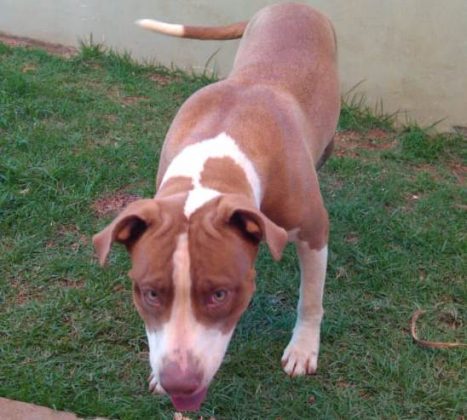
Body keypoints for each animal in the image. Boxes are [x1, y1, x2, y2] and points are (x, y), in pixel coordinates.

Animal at [93, 2, 340, 412]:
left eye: (219, 294)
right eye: (150, 293)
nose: (178, 383)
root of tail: (291, 5)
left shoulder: (314, 231)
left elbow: (311, 298)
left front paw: (303, 349)